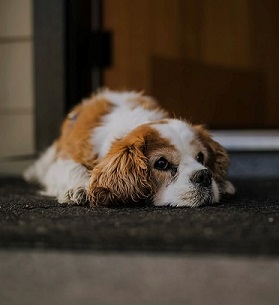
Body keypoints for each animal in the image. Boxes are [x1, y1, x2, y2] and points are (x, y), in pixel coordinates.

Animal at [24, 88, 235, 207]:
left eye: (200, 157)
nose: (204, 176)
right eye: (161, 163)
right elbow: (73, 168)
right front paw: (79, 187)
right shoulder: (64, 160)